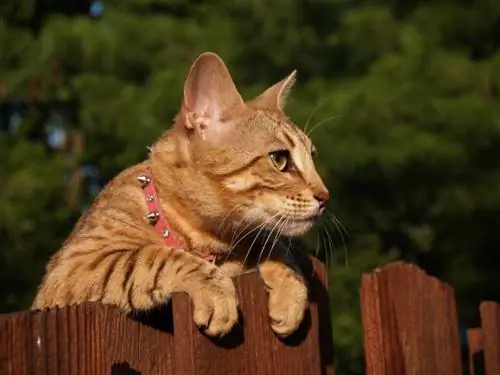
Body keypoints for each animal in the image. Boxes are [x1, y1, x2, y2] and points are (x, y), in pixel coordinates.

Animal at [31, 52, 328, 338]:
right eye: (280, 159)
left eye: (312, 156)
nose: (325, 196)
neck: (211, 241)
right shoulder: (72, 268)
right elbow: (152, 258)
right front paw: (216, 291)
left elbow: (274, 244)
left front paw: (291, 288)